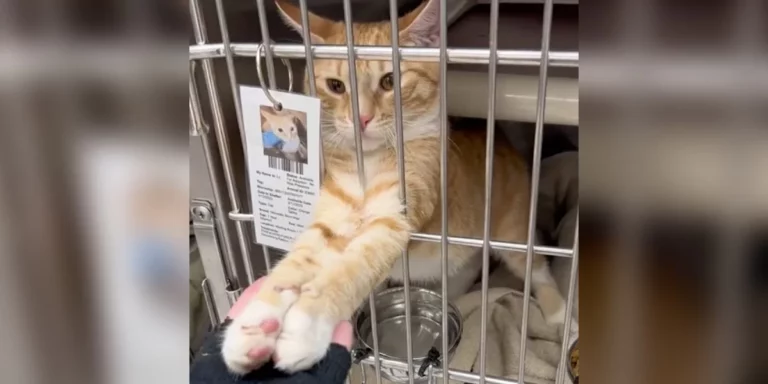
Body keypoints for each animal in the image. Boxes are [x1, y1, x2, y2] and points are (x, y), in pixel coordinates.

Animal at [220, 0, 568, 374]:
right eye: (336, 86)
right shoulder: (332, 215)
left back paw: (559, 312)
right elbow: (295, 263)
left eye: (389, 81)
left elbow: (353, 269)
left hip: (512, 228)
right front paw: (254, 325)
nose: (362, 119)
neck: (368, 162)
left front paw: (305, 328)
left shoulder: (395, 217)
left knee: (535, 265)